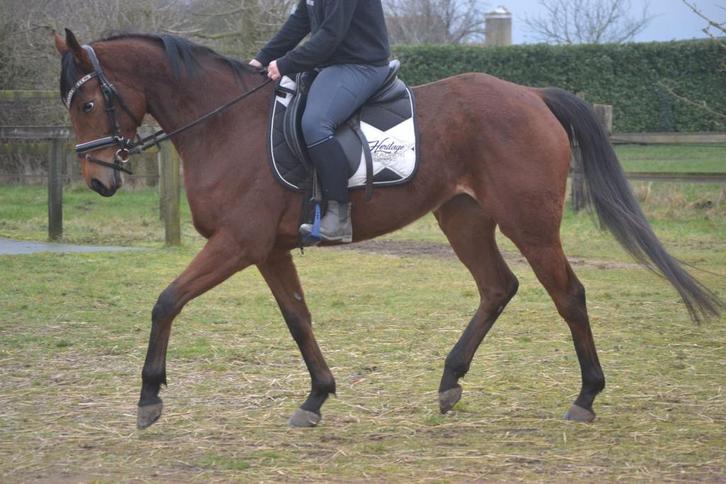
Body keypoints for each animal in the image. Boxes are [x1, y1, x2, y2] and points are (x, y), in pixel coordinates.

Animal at [54, 29, 721, 429]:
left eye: (86, 104)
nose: (98, 179)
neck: (224, 125)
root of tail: (530, 94)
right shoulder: (268, 250)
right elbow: (298, 319)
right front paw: (317, 396)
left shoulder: (238, 243)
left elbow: (166, 301)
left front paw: (149, 397)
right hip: (463, 217)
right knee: (498, 287)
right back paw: (450, 383)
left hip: (529, 225)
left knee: (569, 295)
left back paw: (585, 397)